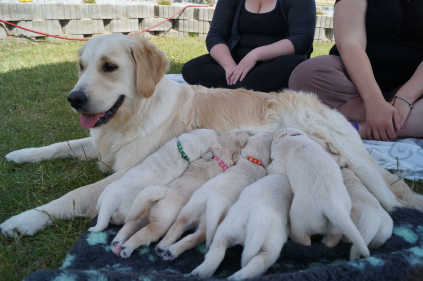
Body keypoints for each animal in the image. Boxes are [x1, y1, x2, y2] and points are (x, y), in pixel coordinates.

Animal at [110, 130, 252, 258]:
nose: (249, 133)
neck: (219, 156)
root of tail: (159, 196)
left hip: (142, 212)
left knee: (130, 224)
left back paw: (117, 244)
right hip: (161, 223)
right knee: (145, 234)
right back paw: (127, 248)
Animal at [268, 127, 372, 258]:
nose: (276, 130)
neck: (294, 137)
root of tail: (333, 206)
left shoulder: (280, 160)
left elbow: (275, 167)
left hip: (300, 219)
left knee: (303, 238)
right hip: (336, 224)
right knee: (332, 238)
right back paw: (328, 243)